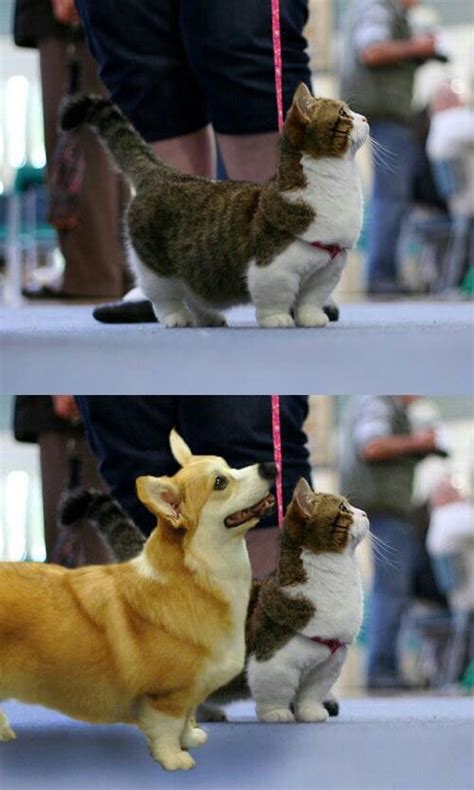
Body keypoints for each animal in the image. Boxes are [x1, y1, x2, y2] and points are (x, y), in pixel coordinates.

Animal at [0, 430, 276, 772]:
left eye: (227, 465)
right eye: (220, 482)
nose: (270, 466)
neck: (198, 576)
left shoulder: (190, 694)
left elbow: (187, 718)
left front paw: (192, 738)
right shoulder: (165, 696)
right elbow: (167, 729)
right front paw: (175, 760)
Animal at [61, 82, 368, 326]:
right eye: (343, 113)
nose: (365, 118)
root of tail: (163, 174)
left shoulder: (327, 271)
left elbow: (310, 300)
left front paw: (311, 318)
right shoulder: (272, 269)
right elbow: (275, 300)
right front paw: (278, 319)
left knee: (192, 292)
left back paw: (209, 317)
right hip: (154, 268)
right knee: (165, 297)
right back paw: (177, 318)